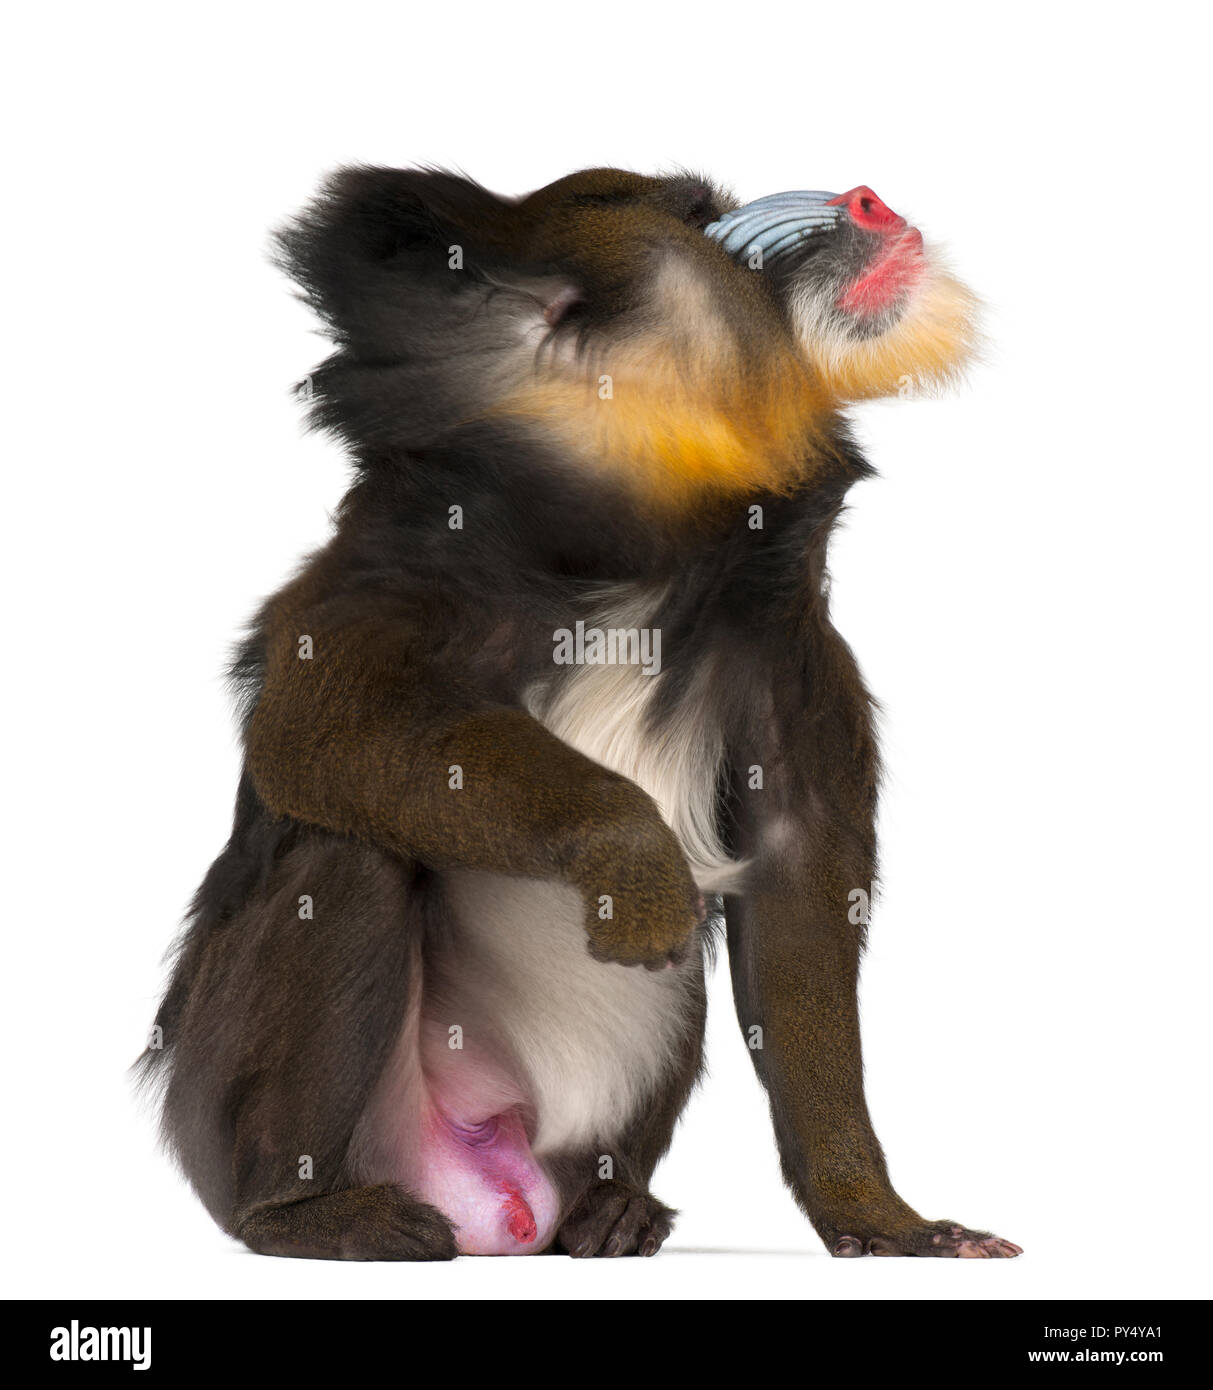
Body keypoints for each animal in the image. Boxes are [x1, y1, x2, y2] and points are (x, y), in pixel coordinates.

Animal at [139, 165, 1022, 1262]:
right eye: (698, 219)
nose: (866, 200)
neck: (658, 537)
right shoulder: (405, 564)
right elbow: (311, 730)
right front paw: (630, 858)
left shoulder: (792, 653)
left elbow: (798, 879)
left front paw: (878, 1215)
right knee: (346, 855)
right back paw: (307, 1212)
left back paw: (614, 1211)